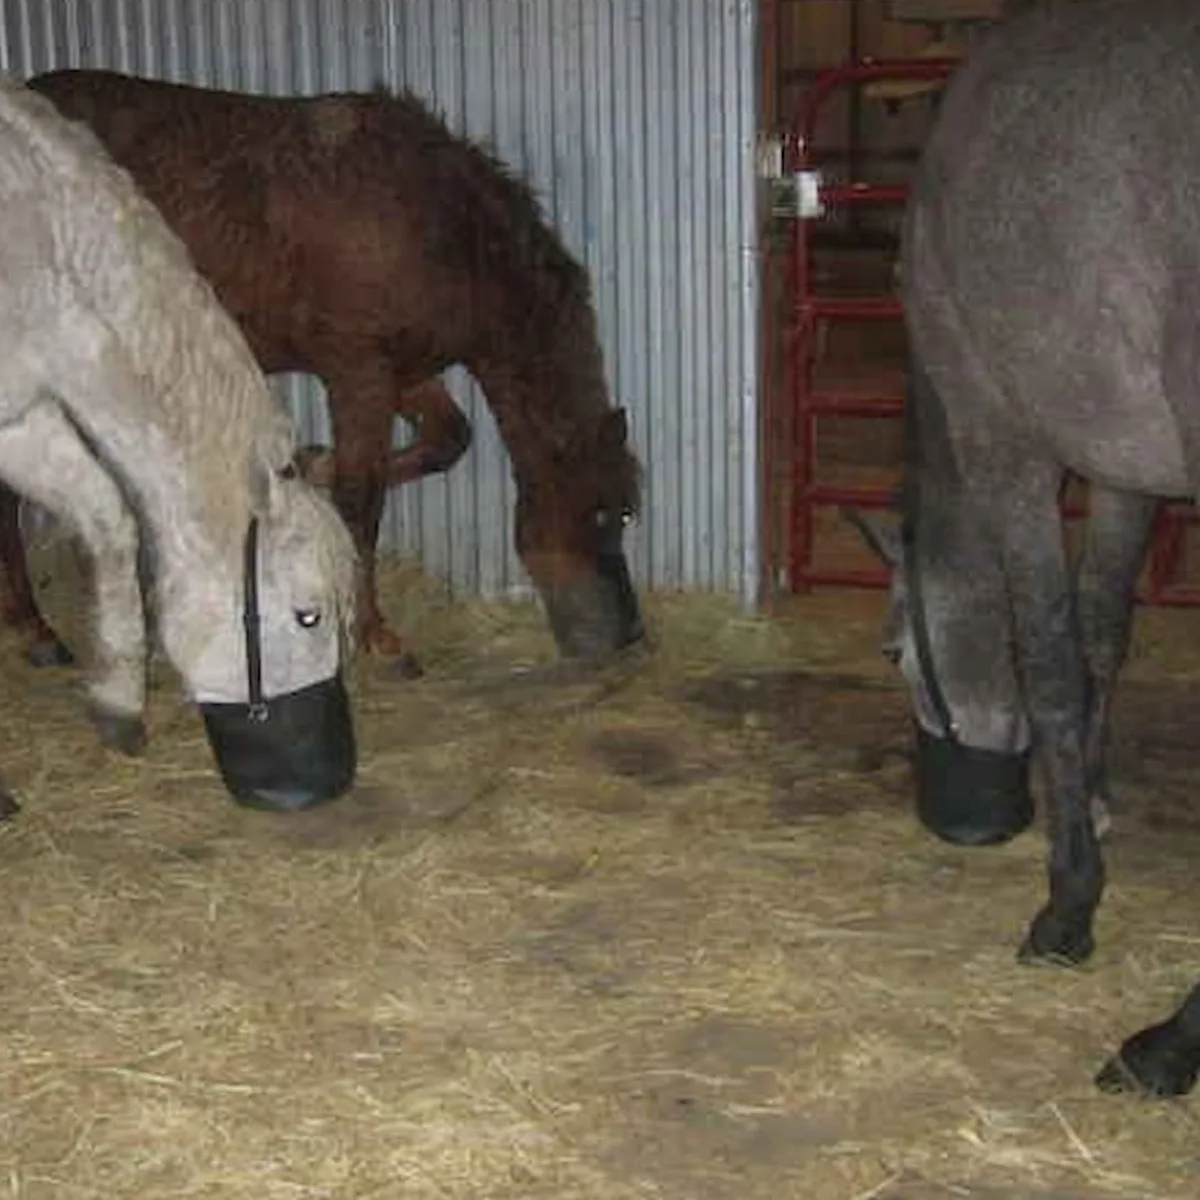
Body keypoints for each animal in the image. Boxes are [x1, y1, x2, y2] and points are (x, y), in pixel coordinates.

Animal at [0, 79, 357, 816]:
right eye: (308, 616)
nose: (325, 780)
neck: (36, 237)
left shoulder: (20, 417)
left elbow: (107, 516)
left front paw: (117, 705)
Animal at [7, 70, 648, 672]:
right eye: (599, 512)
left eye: (625, 512)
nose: (628, 635)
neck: (443, 230)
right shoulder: (358, 372)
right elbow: (362, 502)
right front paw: (375, 637)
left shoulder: (403, 372)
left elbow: (446, 440)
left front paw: (314, 464)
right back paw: (36, 632)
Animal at [859, 2, 1200, 1099]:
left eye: (894, 650)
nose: (963, 817)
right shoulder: (1125, 469)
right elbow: (1103, 638)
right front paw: (1089, 801)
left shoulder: (1008, 446)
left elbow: (1050, 663)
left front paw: (1068, 903)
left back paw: (1168, 1043)